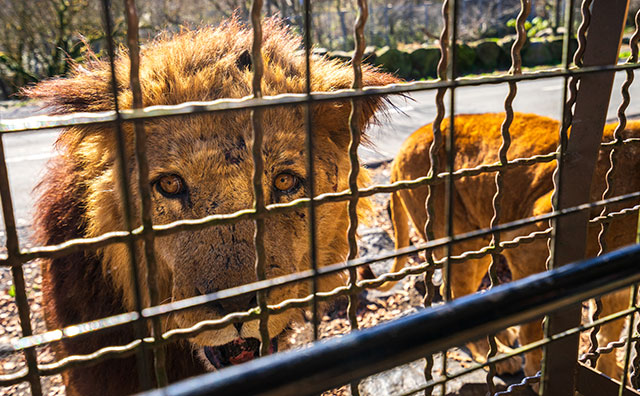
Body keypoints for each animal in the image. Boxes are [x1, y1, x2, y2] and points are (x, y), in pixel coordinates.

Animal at [370, 113, 640, 378]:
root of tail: (411, 138)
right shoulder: (532, 241)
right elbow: (533, 323)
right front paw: (539, 369)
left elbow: (609, 329)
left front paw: (610, 373)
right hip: (458, 238)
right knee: (457, 295)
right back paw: (498, 356)